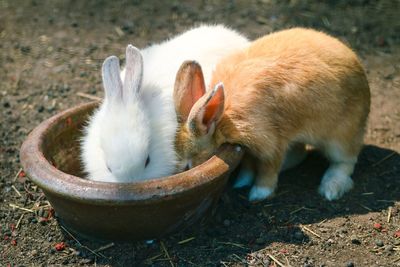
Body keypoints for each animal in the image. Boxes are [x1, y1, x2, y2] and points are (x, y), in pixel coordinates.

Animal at [173, 28, 370, 202]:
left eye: (187, 166)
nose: (181, 173)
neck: (223, 118)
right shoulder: (248, 148)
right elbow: (248, 165)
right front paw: (242, 182)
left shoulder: (270, 142)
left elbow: (268, 170)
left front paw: (258, 194)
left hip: (340, 138)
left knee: (345, 161)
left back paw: (330, 189)